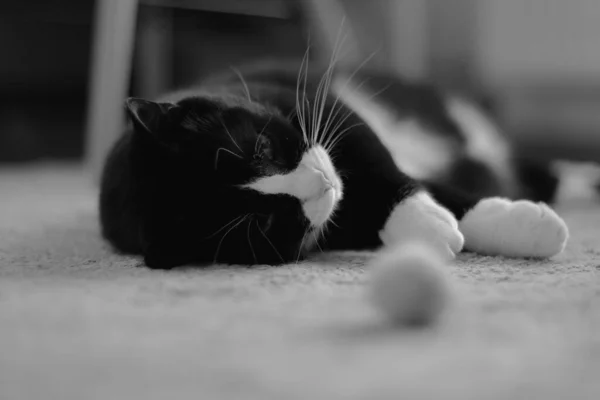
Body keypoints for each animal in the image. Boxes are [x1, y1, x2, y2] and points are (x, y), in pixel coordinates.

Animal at [98, 59, 568, 268]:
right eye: (261, 222)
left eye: (262, 149)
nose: (324, 186)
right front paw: (433, 230)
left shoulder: (320, 105)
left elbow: (383, 167)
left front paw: (528, 227)